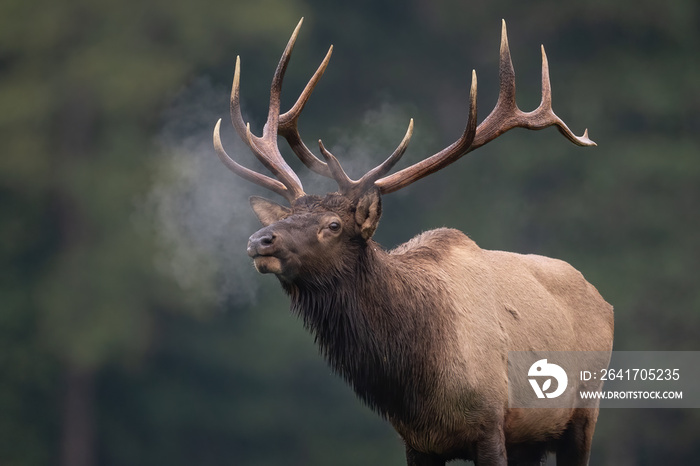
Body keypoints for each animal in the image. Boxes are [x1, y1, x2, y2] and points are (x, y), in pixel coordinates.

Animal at [212, 18, 612, 466]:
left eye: (333, 225)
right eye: (286, 216)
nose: (260, 240)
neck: (419, 385)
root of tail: (602, 299)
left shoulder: (492, 422)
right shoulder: (417, 441)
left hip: (583, 413)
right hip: (531, 440)